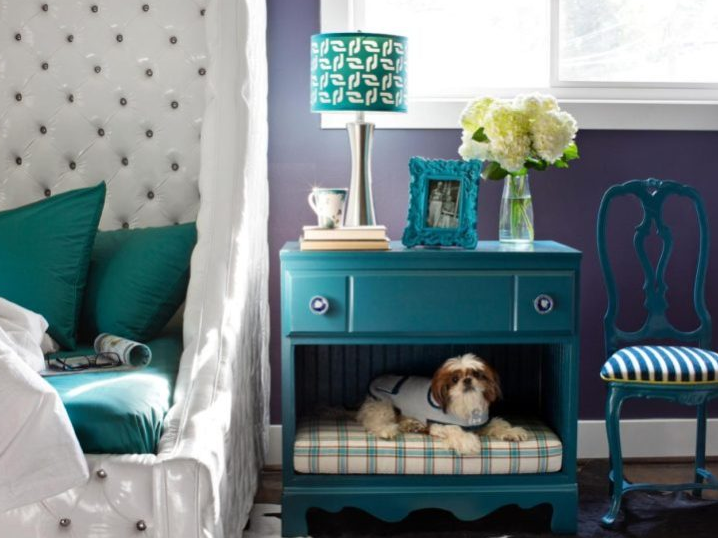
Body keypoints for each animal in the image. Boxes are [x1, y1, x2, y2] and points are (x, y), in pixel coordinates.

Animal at [358, 352, 532, 452]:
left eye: (476, 374)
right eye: (454, 379)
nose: (467, 380)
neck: (465, 406)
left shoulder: (481, 423)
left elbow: (498, 424)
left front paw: (512, 432)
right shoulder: (438, 425)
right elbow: (454, 429)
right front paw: (468, 440)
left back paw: (412, 425)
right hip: (383, 405)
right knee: (374, 421)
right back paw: (386, 430)